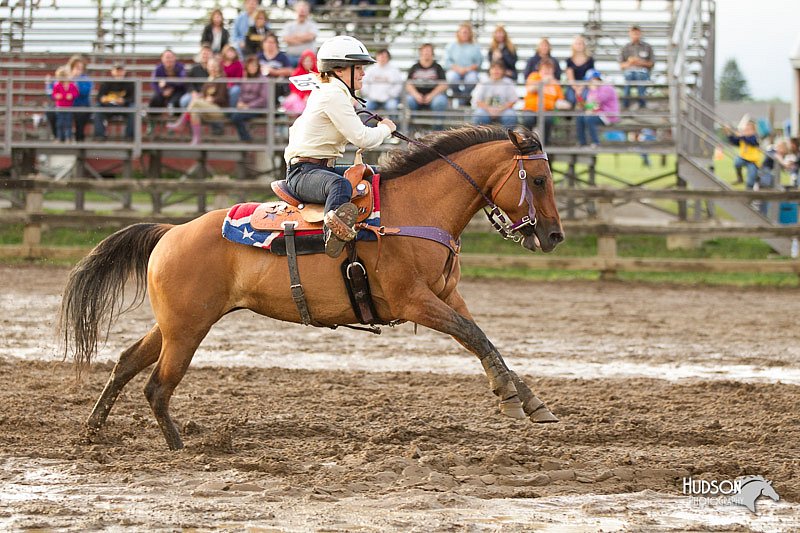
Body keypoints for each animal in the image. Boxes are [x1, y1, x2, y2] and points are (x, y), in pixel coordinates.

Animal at [59, 124, 564, 448]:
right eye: (539, 179)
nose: (554, 236)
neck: (417, 210)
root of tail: (172, 231)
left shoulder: (447, 296)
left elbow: (483, 339)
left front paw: (531, 401)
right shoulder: (416, 302)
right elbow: (474, 336)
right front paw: (510, 401)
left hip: (175, 323)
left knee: (127, 363)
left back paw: (91, 431)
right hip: (187, 329)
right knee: (158, 386)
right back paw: (180, 449)